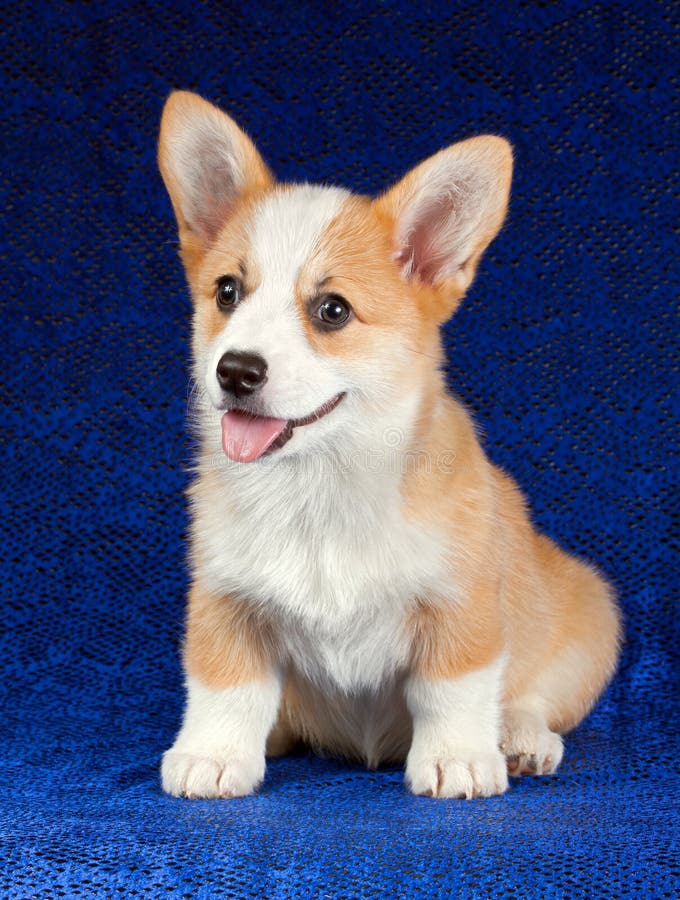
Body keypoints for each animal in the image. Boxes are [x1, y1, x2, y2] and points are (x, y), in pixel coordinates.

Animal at [155, 91, 620, 800]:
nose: (235, 370)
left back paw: (520, 739)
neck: (318, 483)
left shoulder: (460, 604)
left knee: (531, 696)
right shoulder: (225, 600)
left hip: (591, 620)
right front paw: (212, 754)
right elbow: (224, 687)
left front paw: (458, 758)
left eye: (332, 311)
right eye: (227, 292)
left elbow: (453, 688)